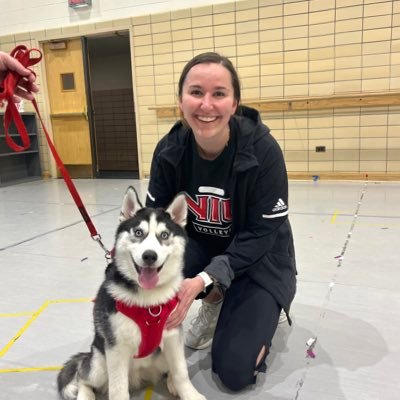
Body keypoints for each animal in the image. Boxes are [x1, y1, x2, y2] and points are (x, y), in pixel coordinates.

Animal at [57, 188, 206, 400]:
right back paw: (85, 395)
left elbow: (180, 371)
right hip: (99, 363)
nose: (149, 256)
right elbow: (118, 389)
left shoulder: (172, 337)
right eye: (138, 233)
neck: (149, 300)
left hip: (161, 356)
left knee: (169, 370)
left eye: (164, 234)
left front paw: (190, 394)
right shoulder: (117, 348)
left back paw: (171, 382)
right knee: (83, 377)